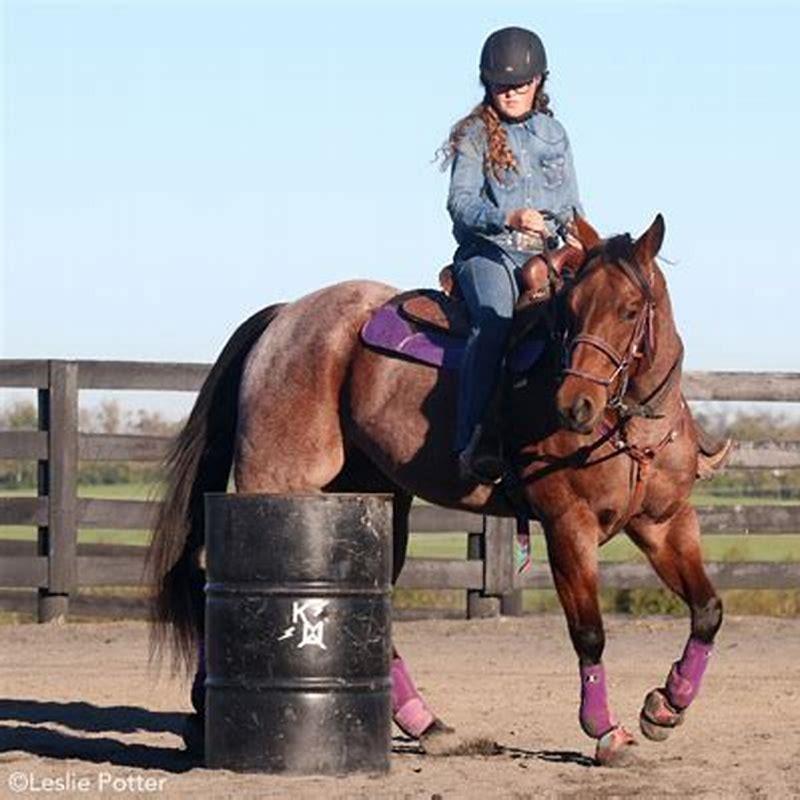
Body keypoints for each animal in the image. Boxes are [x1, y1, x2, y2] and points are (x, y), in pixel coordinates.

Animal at [146, 213, 722, 766]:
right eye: (573, 309)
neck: (631, 427)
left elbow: (708, 610)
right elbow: (590, 632)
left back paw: (429, 726)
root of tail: (285, 316)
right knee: (211, 566)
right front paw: (605, 731)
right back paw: (204, 714)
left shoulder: (665, 524)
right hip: (277, 477)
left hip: (376, 500)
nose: (574, 406)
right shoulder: (568, 525)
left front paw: (665, 707)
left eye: (630, 309)